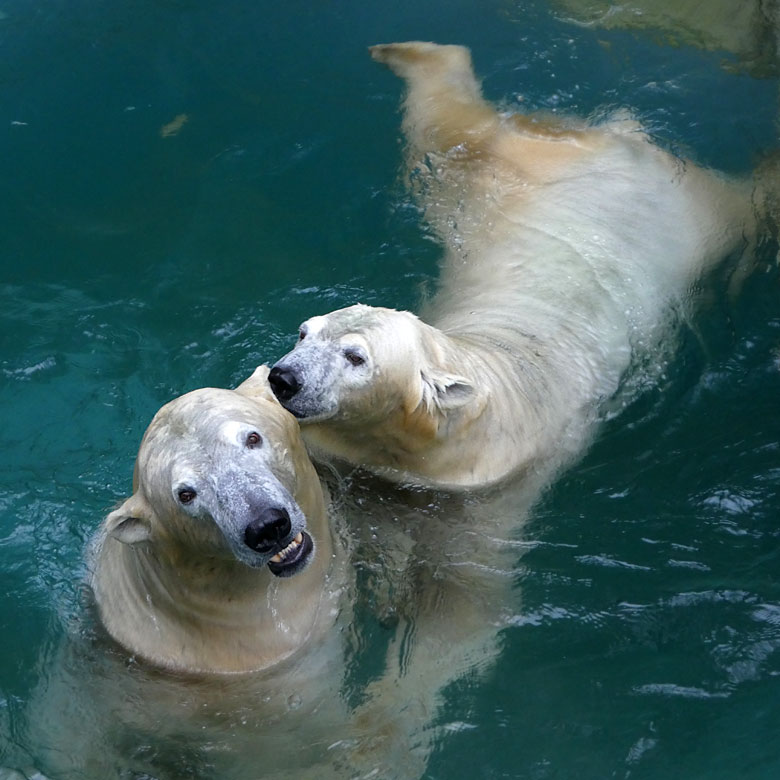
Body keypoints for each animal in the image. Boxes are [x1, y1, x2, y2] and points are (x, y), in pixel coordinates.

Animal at [270, 39, 760, 488]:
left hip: (700, 223)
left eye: (356, 357)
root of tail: (630, 143)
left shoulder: (482, 483)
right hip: (496, 176)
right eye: (304, 332)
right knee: (446, 125)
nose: (284, 378)